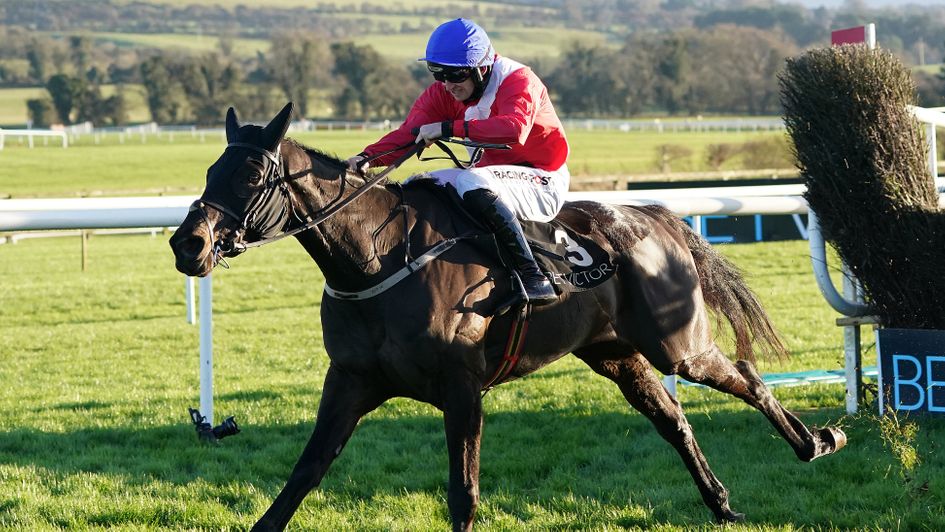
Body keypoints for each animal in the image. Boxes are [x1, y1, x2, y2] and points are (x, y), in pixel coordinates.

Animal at [170, 103, 848, 528]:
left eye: (250, 174)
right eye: (208, 169)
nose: (187, 244)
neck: (375, 259)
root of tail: (656, 216)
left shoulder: (462, 387)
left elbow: (463, 492)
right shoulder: (351, 381)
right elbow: (302, 476)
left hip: (677, 345)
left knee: (746, 377)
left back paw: (816, 441)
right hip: (616, 354)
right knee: (674, 420)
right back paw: (723, 503)